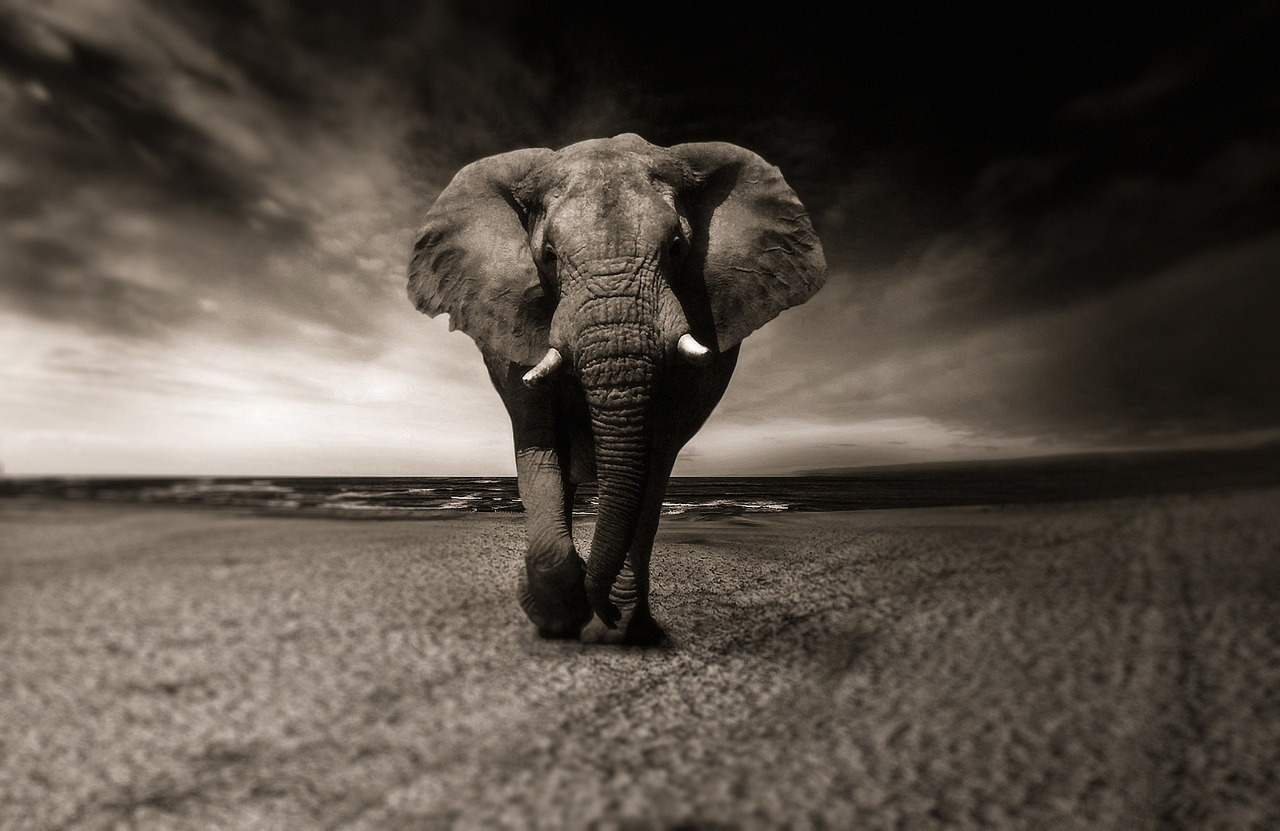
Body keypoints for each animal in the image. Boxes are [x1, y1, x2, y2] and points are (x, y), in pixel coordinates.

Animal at [407, 133, 826, 644]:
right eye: (548, 256)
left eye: (677, 247)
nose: (601, 608)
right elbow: (538, 442)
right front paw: (558, 617)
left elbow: (654, 456)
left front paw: (614, 625)